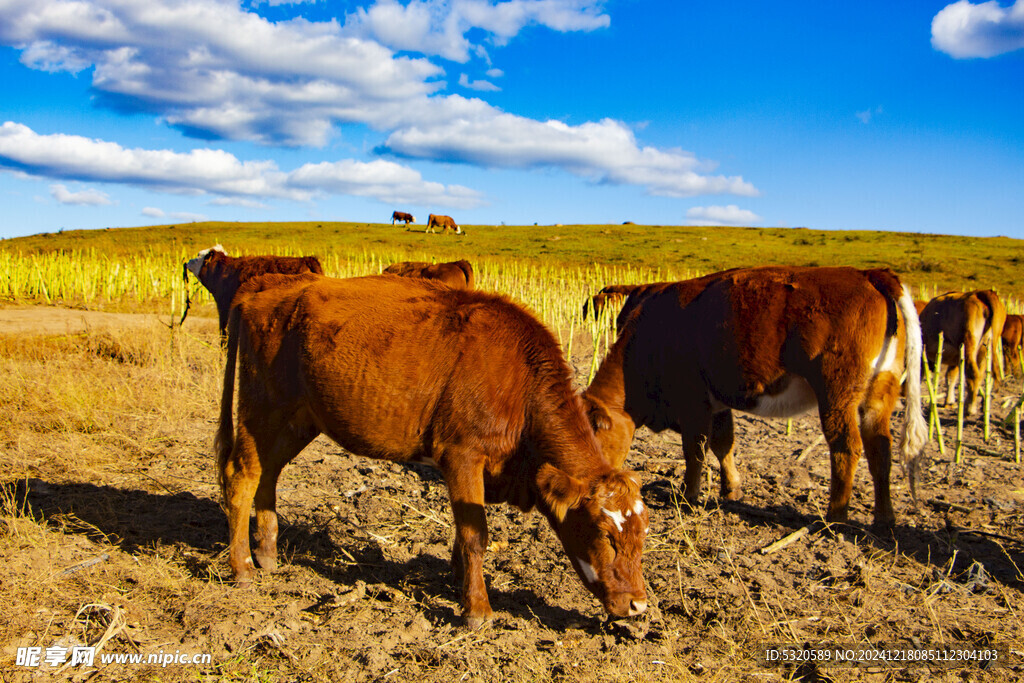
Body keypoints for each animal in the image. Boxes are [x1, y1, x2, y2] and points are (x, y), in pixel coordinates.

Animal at [216, 270, 647, 626]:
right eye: (605, 534)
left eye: (643, 534)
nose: (639, 605)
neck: (517, 383)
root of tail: (263, 291)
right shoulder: (462, 455)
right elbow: (475, 534)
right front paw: (477, 610)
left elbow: (463, 529)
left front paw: (457, 583)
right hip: (261, 408)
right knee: (242, 476)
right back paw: (243, 568)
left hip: (299, 417)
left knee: (268, 473)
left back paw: (268, 554)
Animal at [585, 264, 929, 528]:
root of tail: (867, 273)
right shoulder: (717, 402)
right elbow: (724, 443)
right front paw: (731, 489)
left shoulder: (693, 402)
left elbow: (695, 450)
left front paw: (687, 496)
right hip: (879, 393)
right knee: (880, 448)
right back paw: (884, 519)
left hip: (836, 392)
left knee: (846, 447)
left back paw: (835, 518)